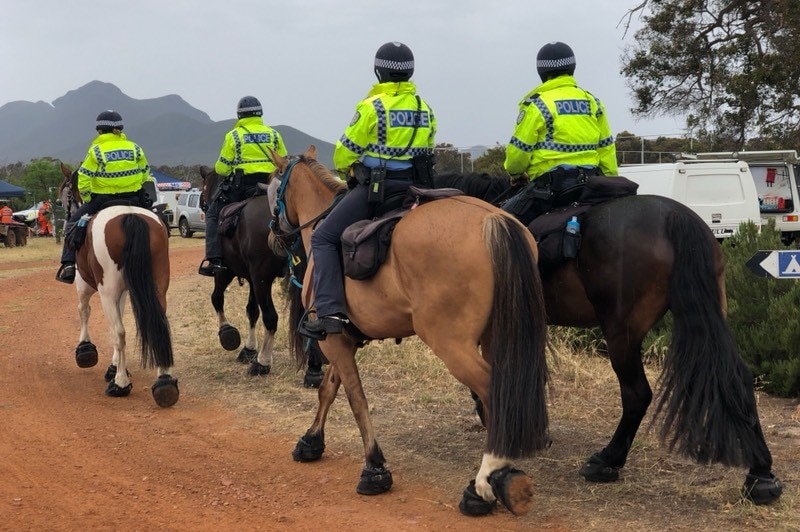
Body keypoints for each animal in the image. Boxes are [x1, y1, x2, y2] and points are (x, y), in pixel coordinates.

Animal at [57, 162, 180, 408]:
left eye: (66, 193)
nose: (65, 213)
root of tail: (131, 217)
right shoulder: (122, 292)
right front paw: (113, 367)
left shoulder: (84, 283)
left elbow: (84, 310)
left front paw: (86, 351)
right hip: (157, 284)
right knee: (158, 324)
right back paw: (164, 382)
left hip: (107, 290)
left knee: (119, 332)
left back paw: (120, 384)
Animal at [268, 145, 552, 516]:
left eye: (272, 189)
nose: (272, 237)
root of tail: (493, 220)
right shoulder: (342, 337)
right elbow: (328, 389)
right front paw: (311, 440)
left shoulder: (332, 339)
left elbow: (356, 398)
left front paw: (374, 467)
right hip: (495, 337)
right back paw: (499, 476)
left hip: (451, 344)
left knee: (491, 390)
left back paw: (483, 484)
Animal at [434, 171, 784, 508]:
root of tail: (675, 217)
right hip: (708, 315)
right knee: (735, 376)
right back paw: (761, 475)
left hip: (621, 334)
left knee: (637, 394)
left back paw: (607, 460)